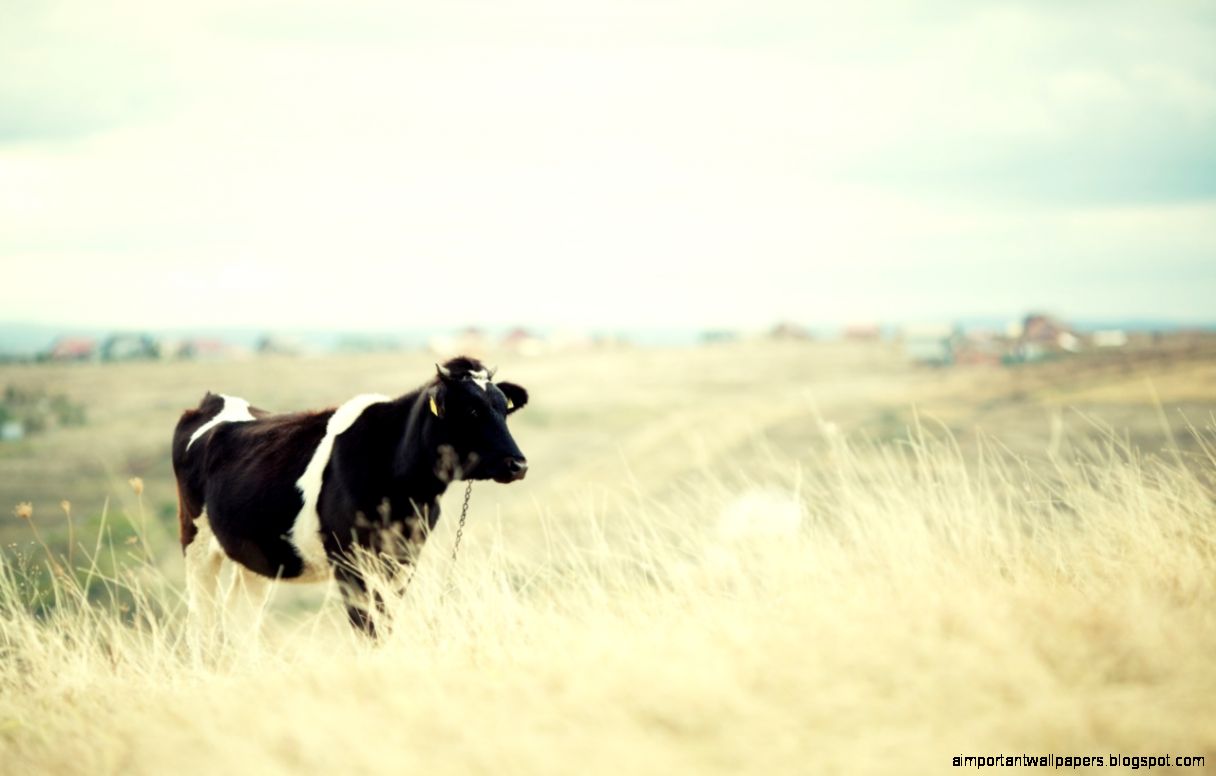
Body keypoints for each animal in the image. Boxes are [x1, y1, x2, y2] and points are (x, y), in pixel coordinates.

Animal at [171, 356, 529, 637]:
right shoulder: (348, 559)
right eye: (471, 411)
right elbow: (366, 626)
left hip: (256, 556)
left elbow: (385, 622)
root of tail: (214, 400)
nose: (518, 464)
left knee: (240, 618)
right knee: (202, 621)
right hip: (197, 544)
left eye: (504, 409)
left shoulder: (404, 557)